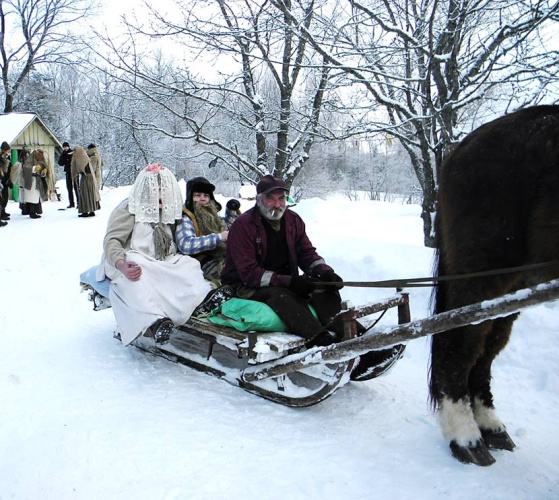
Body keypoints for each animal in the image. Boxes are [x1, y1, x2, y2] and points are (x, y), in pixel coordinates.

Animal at [428, 103, 559, 466]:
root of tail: (459, 150)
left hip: (513, 287)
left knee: (485, 349)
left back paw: (488, 425)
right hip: (484, 275)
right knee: (459, 345)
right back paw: (466, 438)